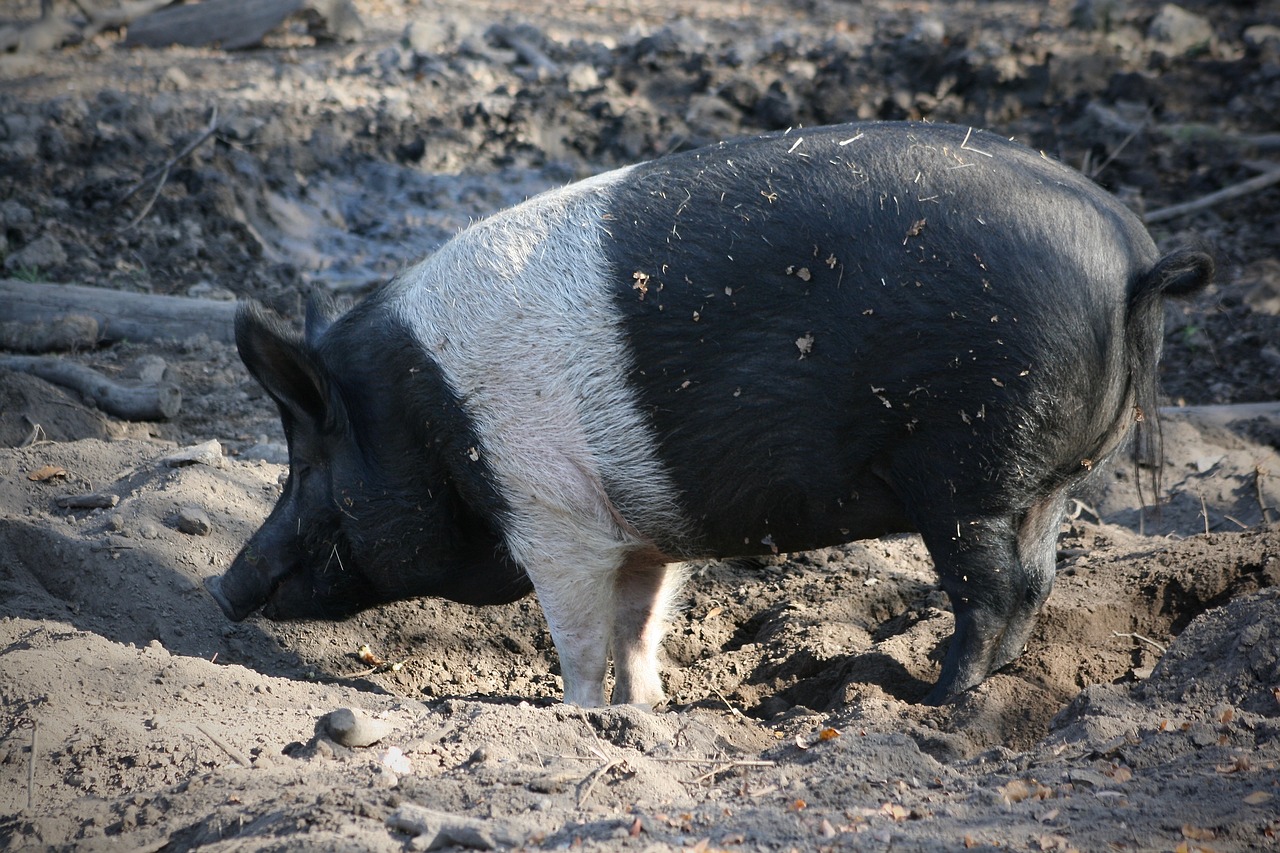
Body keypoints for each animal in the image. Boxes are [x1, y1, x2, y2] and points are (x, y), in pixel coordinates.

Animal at [209, 119, 1208, 701]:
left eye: (309, 464)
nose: (222, 586)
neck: (430, 419)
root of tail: (1134, 260)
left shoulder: (552, 516)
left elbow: (578, 633)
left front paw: (577, 714)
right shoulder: (644, 526)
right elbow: (639, 622)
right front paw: (648, 715)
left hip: (964, 468)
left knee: (993, 589)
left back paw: (933, 699)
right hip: (1045, 480)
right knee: (1036, 580)